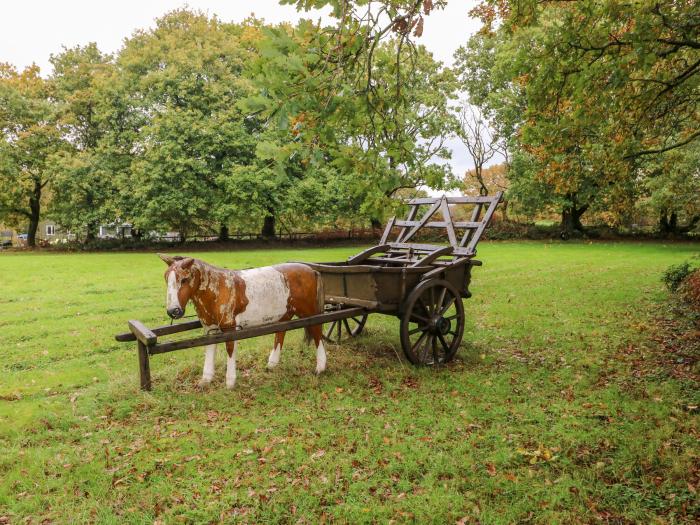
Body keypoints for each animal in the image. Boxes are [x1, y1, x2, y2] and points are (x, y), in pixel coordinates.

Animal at [156, 254, 326, 388]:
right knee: (281, 332)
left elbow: (230, 350)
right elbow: (209, 348)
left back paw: (320, 367)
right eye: (166, 279)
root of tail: (312, 270)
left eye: (184, 279)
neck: (219, 288)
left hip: (310, 312)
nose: (173, 311)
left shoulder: (230, 327)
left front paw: (230, 382)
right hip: (285, 312)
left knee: (317, 332)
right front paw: (206, 380)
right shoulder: (210, 328)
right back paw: (272, 364)